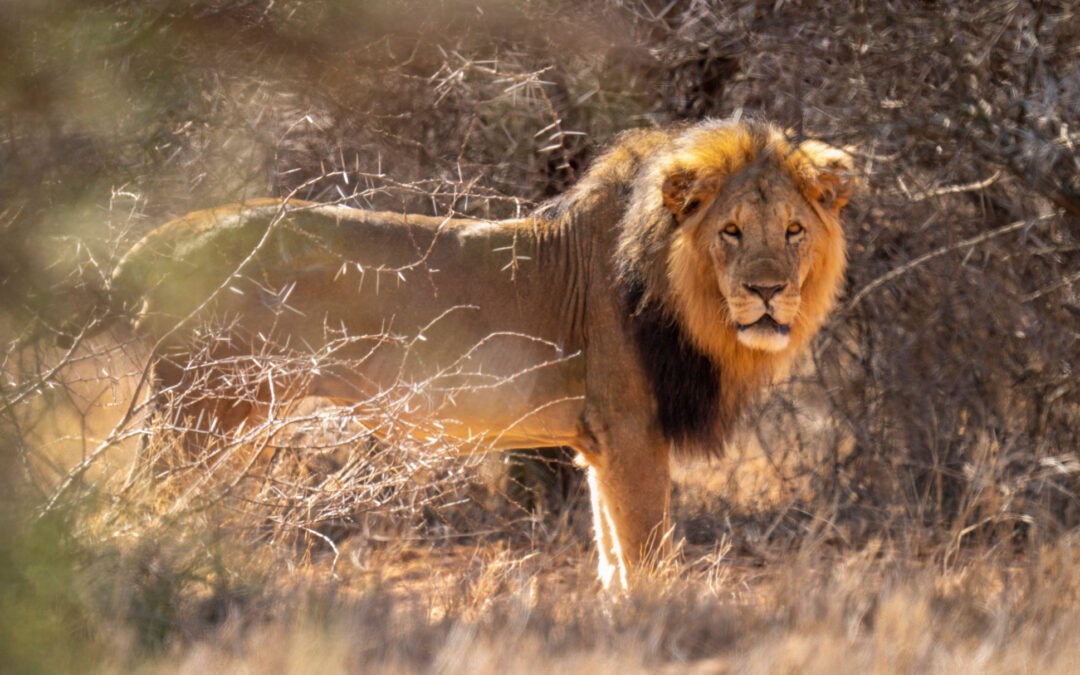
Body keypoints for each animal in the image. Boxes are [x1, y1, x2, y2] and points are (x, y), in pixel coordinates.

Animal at [98, 118, 854, 589]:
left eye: (793, 230)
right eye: (730, 231)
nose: (766, 290)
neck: (687, 297)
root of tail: (157, 243)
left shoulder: (603, 444)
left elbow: (614, 561)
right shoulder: (632, 430)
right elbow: (647, 562)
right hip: (206, 414)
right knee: (142, 508)